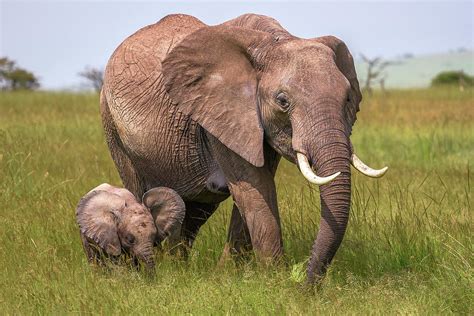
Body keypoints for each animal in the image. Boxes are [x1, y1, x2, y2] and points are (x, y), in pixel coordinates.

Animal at [102, 13, 386, 282]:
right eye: (282, 101)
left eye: (348, 98)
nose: (307, 287)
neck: (274, 41)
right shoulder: (221, 114)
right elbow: (254, 188)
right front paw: (275, 278)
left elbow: (254, 189)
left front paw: (231, 274)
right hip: (112, 125)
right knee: (139, 192)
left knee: (195, 208)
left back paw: (178, 266)